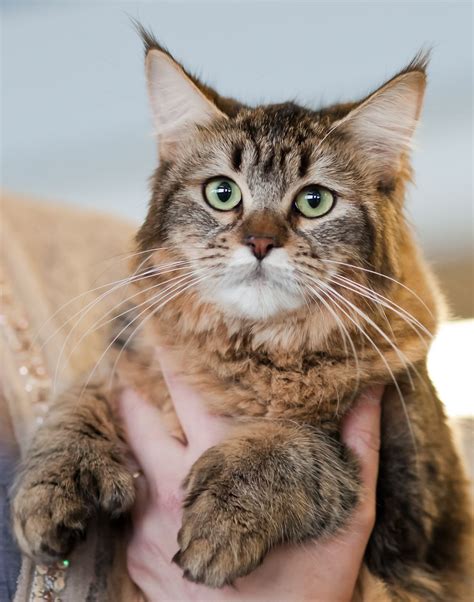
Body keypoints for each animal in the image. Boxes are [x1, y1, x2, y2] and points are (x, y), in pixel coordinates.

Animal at [11, 25, 470, 596]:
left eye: (315, 201)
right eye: (223, 193)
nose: (259, 242)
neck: (252, 356)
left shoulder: (408, 503)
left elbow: (293, 442)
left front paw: (223, 522)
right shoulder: (131, 358)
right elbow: (79, 399)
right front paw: (49, 486)